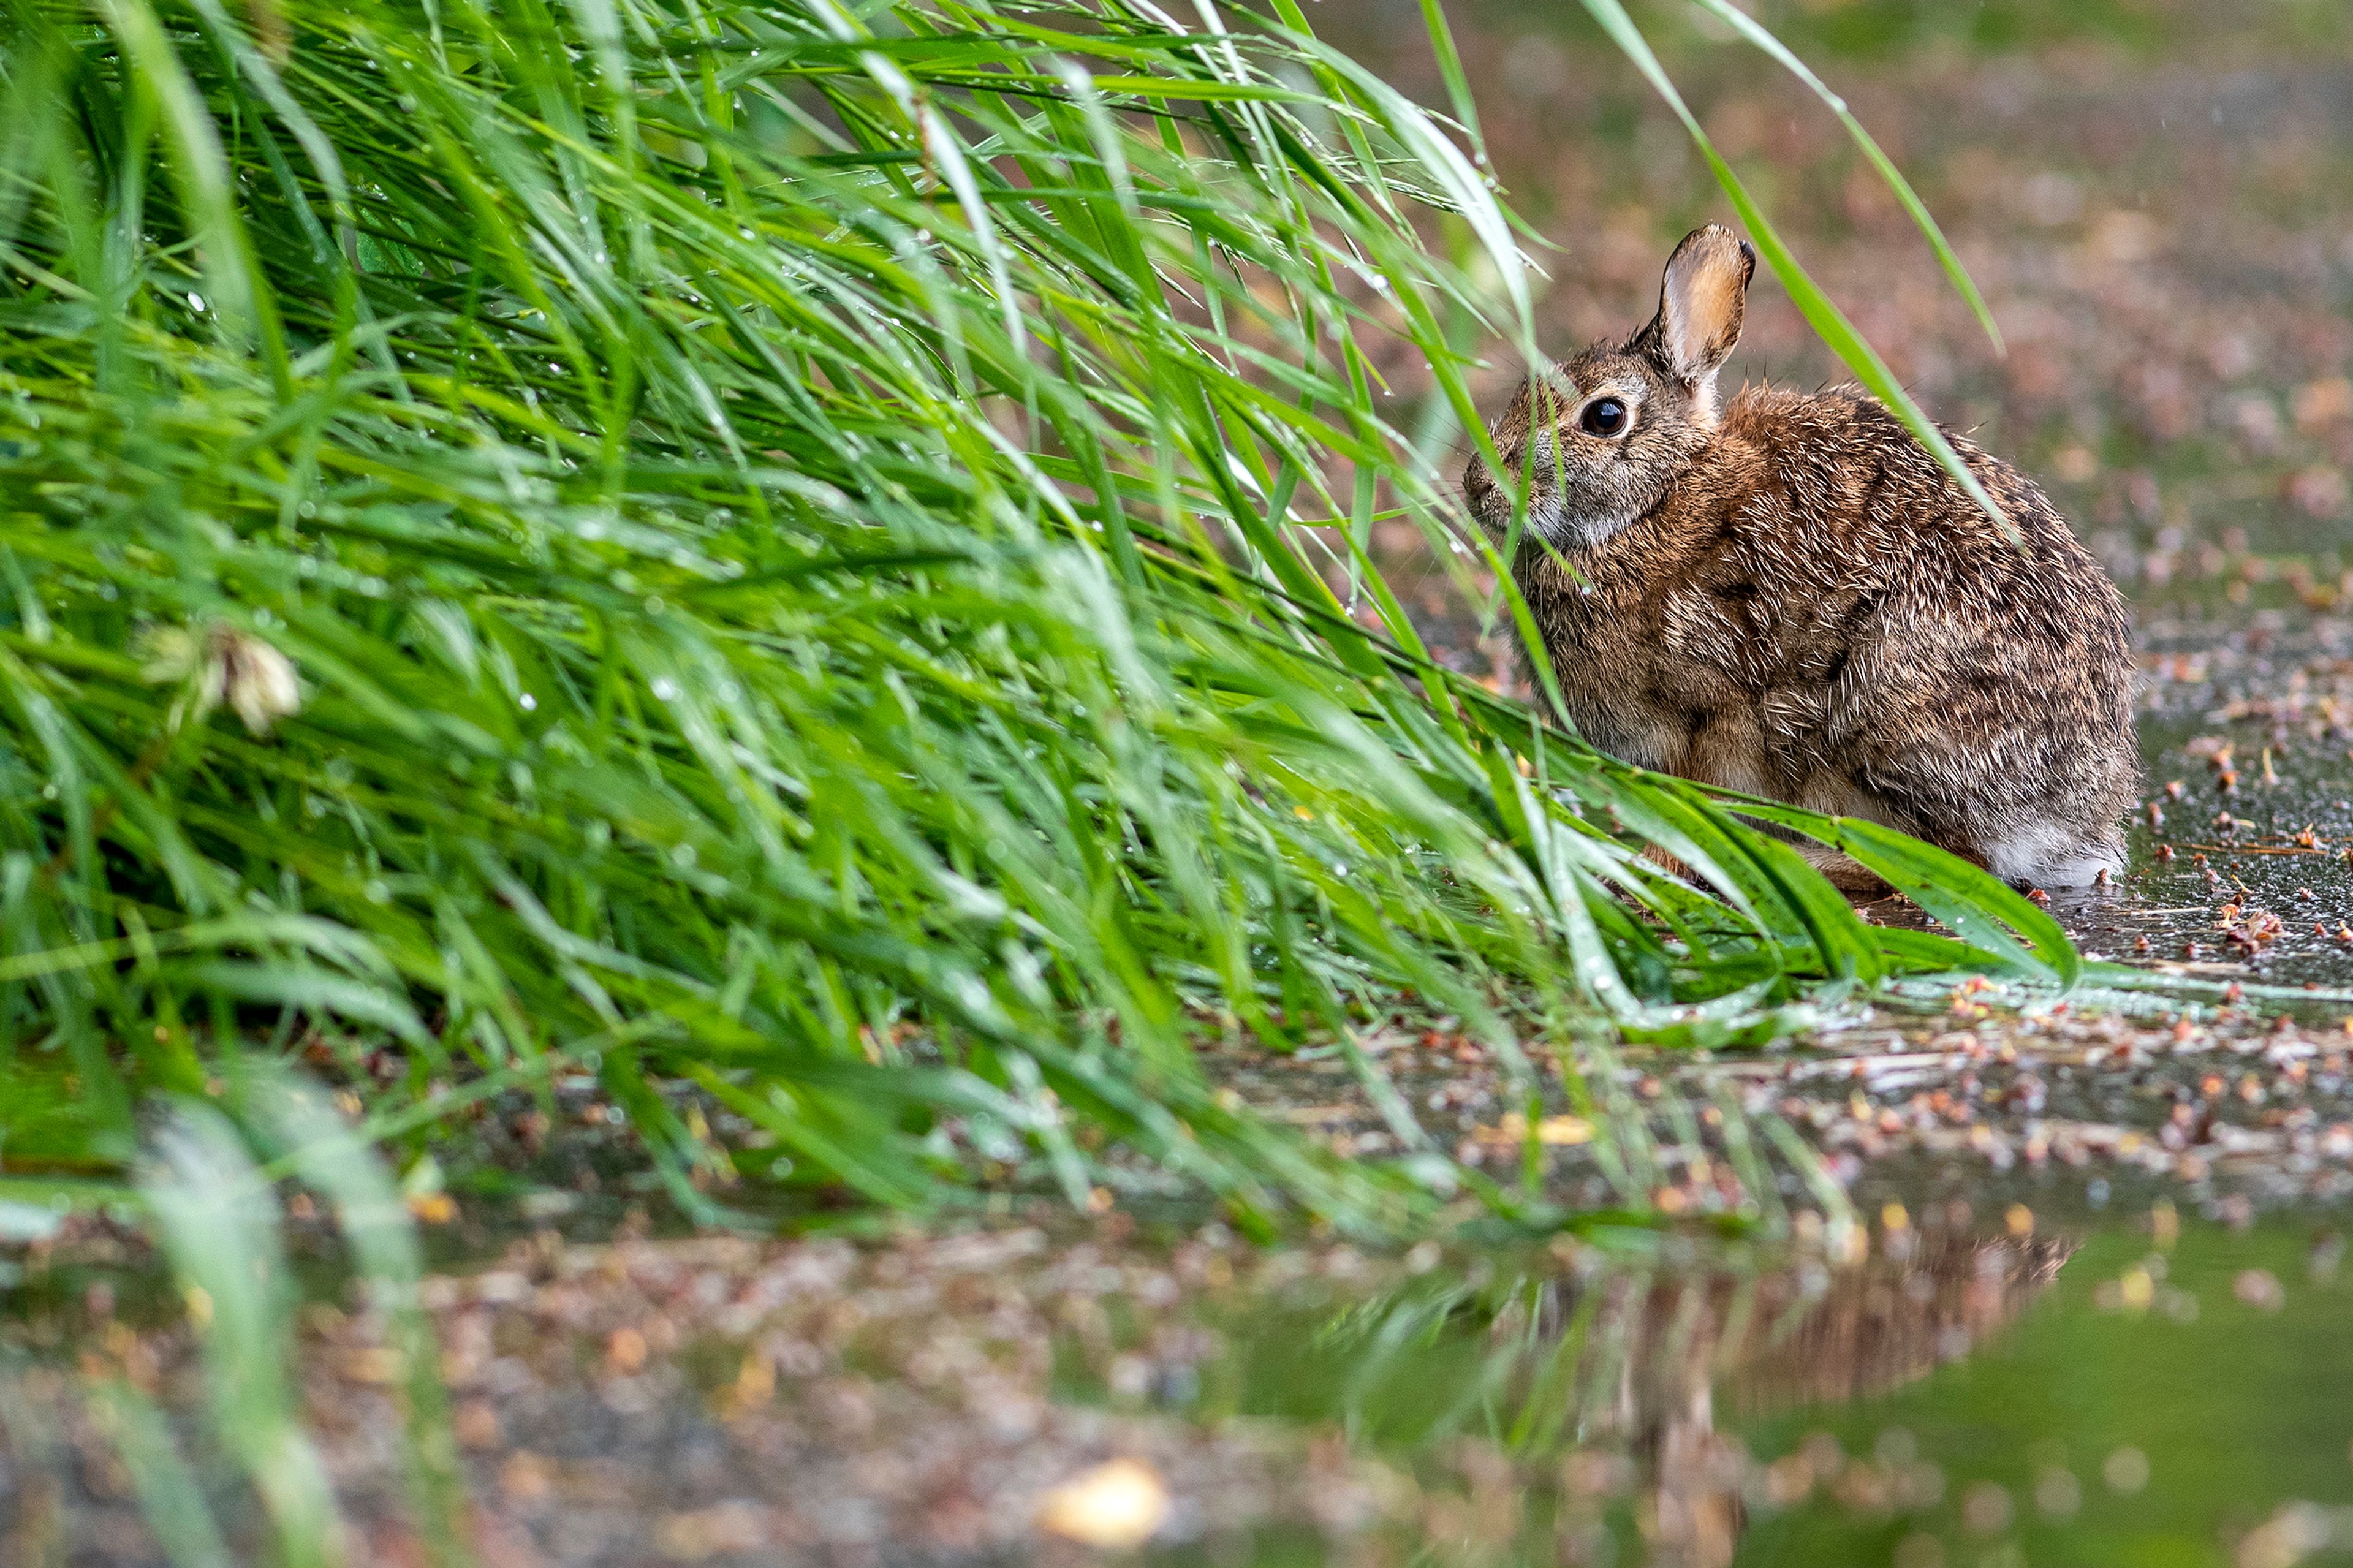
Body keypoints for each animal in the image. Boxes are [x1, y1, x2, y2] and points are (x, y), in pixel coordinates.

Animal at [1458, 221, 2146, 885]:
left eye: (1605, 417)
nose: (1478, 484)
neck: (1659, 498)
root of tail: (2078, 817)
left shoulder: (1708, 715)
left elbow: (1699, 808)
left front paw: (1655, 860)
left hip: (1887, 709)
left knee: (1956, 856)